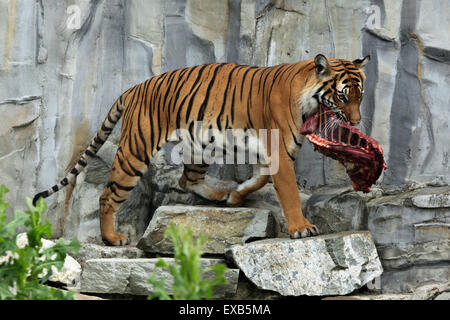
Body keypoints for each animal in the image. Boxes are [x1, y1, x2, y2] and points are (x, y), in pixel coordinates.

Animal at [30, 54, 370, 245]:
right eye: (342, 96)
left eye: (360, 96)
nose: (357, 121)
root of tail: (134, 87)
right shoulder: (279, 153)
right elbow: (288, 192)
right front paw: (302, 228)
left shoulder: (270, 152)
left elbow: (259, 178)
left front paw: (237, 195)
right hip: (135, 151)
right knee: (108, 195)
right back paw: (112, 237)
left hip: (202, 145)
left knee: (187, 179)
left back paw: (221, 195)